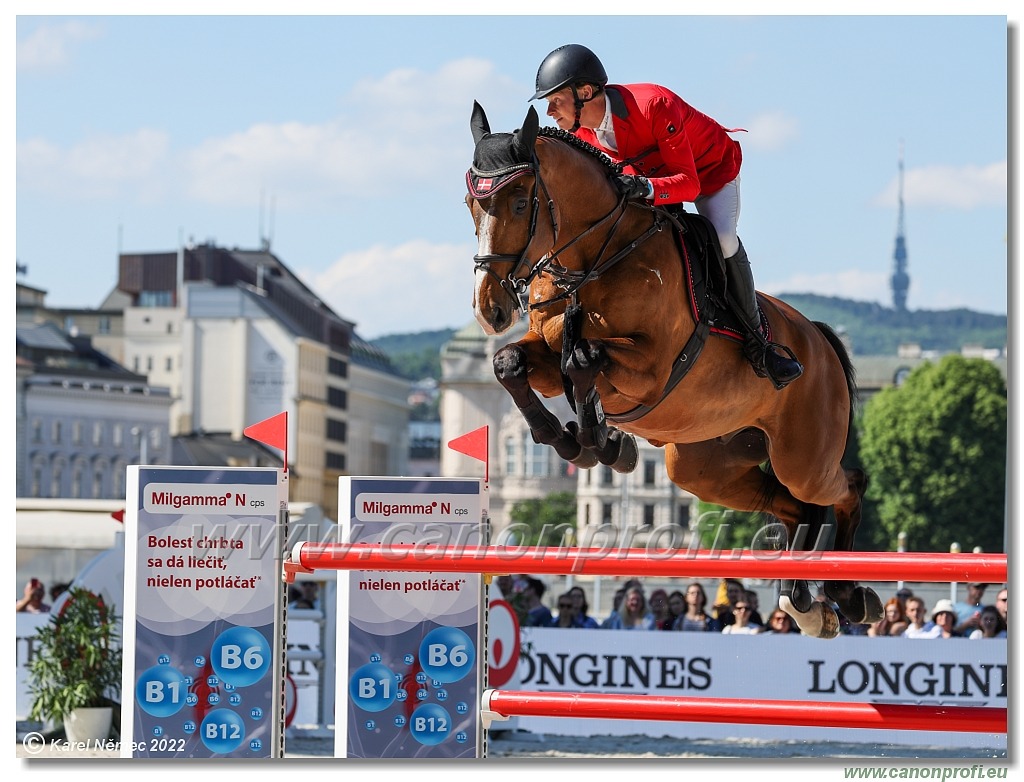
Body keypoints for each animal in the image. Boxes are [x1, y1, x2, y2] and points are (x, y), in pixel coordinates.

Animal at [468, 102, 884, 642]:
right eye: (470, 203)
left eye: (520, 203)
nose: (489, 310)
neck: (596, 256)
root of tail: (820, 340)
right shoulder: (547, 353)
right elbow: (512, 364)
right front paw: (575, 440)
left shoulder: (648, 367)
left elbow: (583, 360)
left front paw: (597, 441)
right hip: (703, 468)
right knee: (794, 508)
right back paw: (807, 603)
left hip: (804, 458)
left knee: (846, 486)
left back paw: (846, 593)